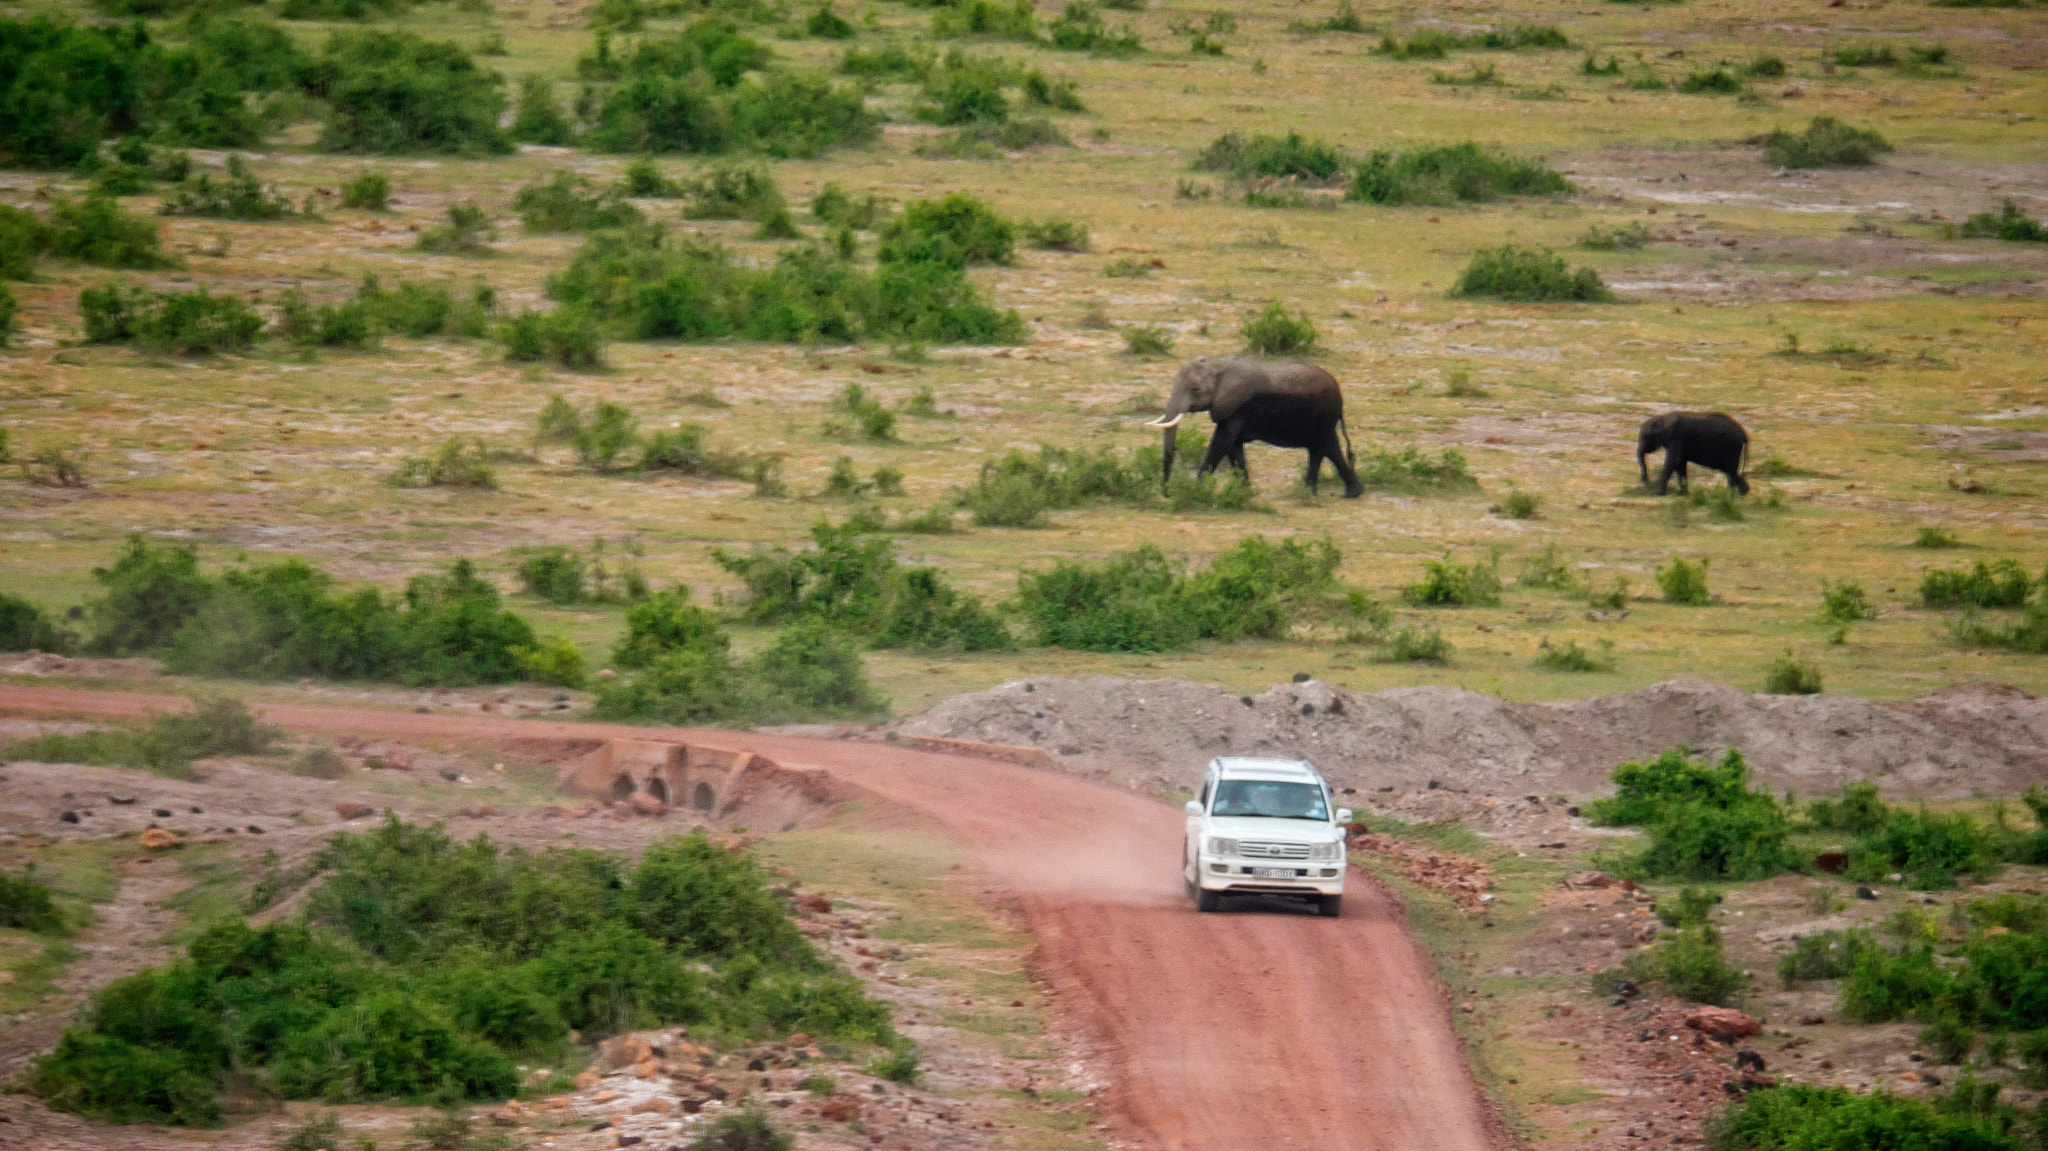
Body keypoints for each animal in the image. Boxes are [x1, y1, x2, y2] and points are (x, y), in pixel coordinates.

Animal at [1155, 354, 1359, 497]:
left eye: (1196, 390)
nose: (1166, 493)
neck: (1216, 366)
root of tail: (1339, 392)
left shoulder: (1239, 406)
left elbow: (1222, 442)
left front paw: (1195, 489)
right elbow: (1233, 446)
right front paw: (1245, 492)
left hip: (1325, 412)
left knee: (1321, 447)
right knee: (1328, 447)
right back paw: (1348, 493)